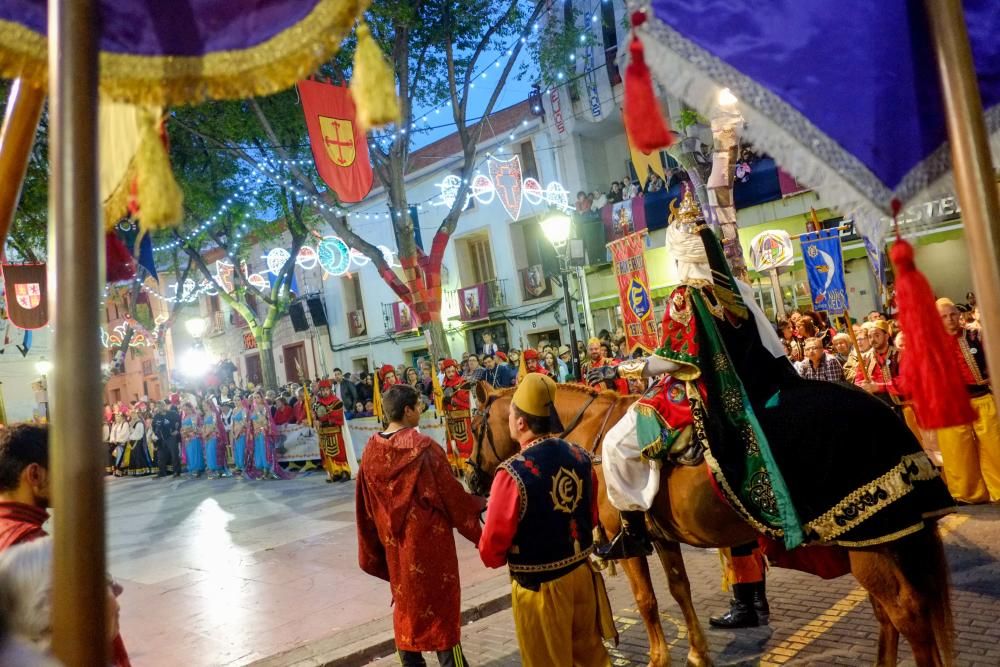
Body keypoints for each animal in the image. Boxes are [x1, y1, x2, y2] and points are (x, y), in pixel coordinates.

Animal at [468, 380, 952, 667]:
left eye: (473, 426)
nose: (472, 478)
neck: (592, 436)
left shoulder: (629, 543)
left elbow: (646, 600)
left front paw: (659, 657)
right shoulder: (662, 537)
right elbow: (679, 590)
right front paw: (698, 653)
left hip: (872, 546)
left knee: (906, 614)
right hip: (876, 544)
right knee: (889, 615)